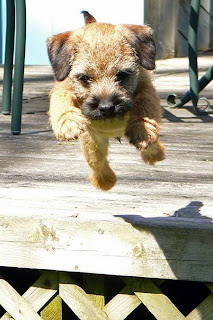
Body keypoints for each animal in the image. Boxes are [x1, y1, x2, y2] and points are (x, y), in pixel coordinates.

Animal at [47, 11, 166, 190]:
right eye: (84, 78)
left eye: (123, 74)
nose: (107, 107)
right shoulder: (63, 86)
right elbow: (61, 98)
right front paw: (68, 122)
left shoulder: (146, 87)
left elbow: (145, 105)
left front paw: (142, 127)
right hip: (92, 140)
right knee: (95, 159)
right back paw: (104, 179)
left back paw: (155, 153)